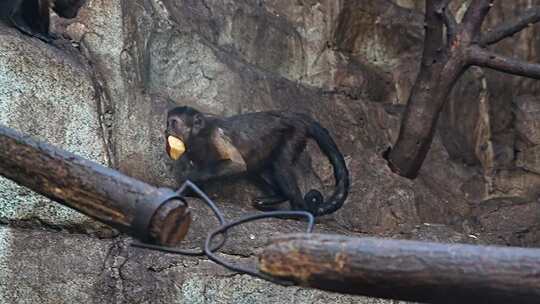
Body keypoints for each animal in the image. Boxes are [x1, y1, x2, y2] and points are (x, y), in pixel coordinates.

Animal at [165, 105, 350, 217]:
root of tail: (293, 116)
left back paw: (300, 211)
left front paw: (189, 177)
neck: (199, 136)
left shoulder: (216, 135)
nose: (166, 130)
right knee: (258, 168)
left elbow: (237, 165)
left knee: (280, 165)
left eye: (173, 123)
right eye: (167, 123)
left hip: (295, 132)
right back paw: (278, 197)